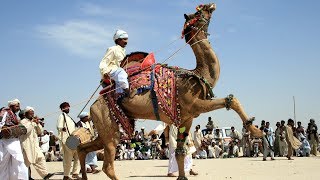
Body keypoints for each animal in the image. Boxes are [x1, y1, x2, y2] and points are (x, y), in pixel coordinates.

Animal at [77, 3, 262, 180]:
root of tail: (92, 106)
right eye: (199, 11)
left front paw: (182, 176)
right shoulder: (194, 105)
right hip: (109, 127)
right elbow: (231, 100)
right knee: (107, 166)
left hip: (107, 128)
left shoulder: (186, 118)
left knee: (82, 148)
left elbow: (180, 151)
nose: (211, 5)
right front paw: (256, 131)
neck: (197, 74)